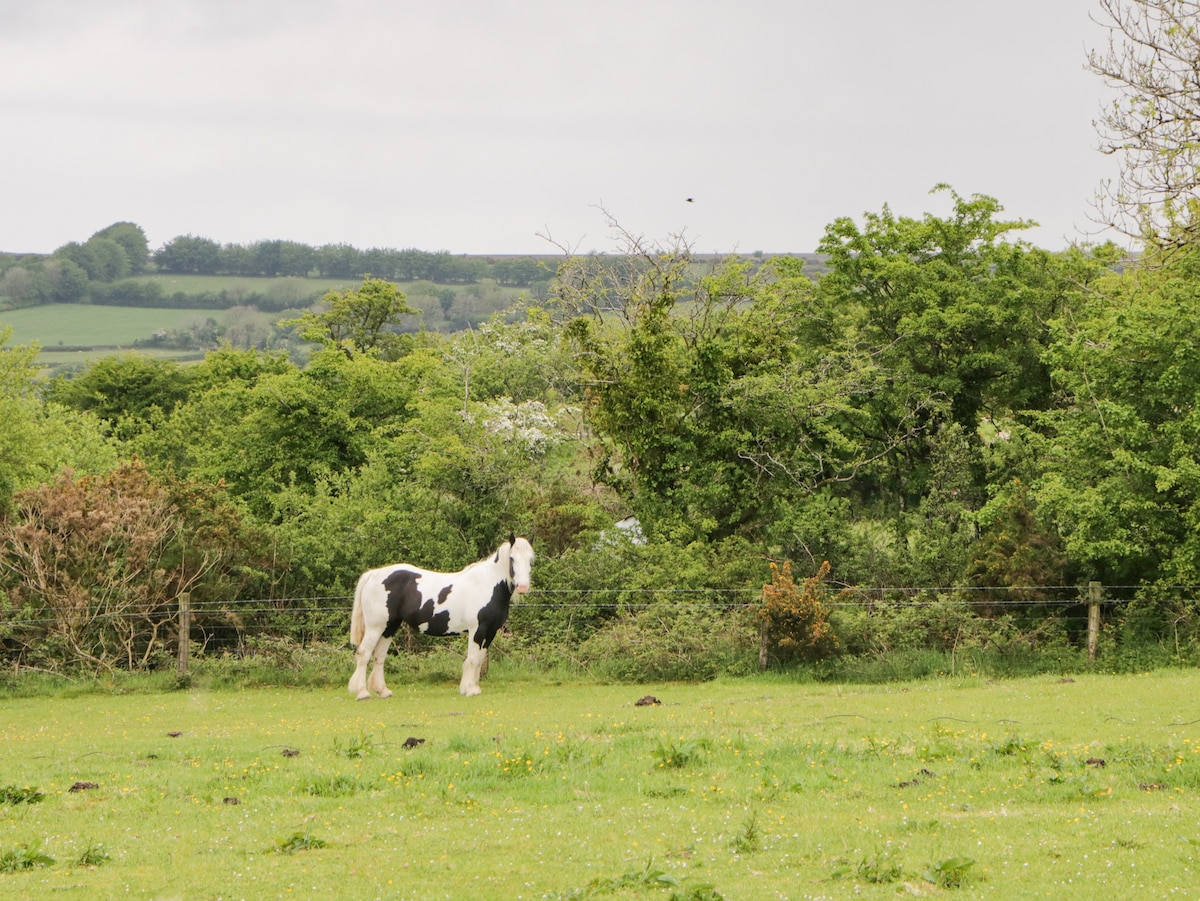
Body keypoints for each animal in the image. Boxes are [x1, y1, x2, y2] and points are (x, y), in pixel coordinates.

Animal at [348, 535, 535, 695]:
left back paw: (382, 691)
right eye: (512, 558)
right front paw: (470, 689)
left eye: (531, 560)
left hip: (389, 627)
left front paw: (473, 687)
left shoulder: (490, 632)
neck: (487, 585)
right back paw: (362, 692)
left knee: (379, 656)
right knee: (364, 653)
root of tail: (373, 574)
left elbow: (480, 659)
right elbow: (473, 659)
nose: (523, 586)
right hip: (375, 627)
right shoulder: (477, 630)